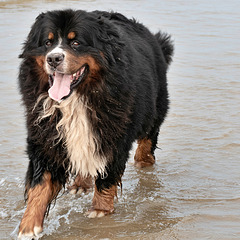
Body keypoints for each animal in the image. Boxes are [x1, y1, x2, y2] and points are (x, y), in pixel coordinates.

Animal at [17, 8, 173, 238]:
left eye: (76, 43)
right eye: (47, 42)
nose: (53, 58)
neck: (77, 98)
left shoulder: (114, 134)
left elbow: (107, 175)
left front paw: (100, 210)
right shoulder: (45, 135)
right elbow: (40, 184)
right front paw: (29, 226)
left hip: (154, 106)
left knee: (148, 136)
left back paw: (144, 160)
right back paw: (81, 184)